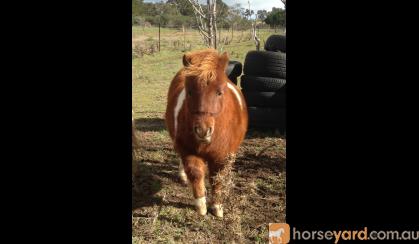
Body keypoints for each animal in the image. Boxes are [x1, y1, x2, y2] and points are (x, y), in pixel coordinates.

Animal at [166, 48, 248, 217]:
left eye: (219, 92)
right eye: (189, 92)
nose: (203, 130)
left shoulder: (222, 156)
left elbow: (217, 178)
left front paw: (217, 207)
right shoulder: (187, 150)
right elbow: (196, 173)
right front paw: (201, 206)